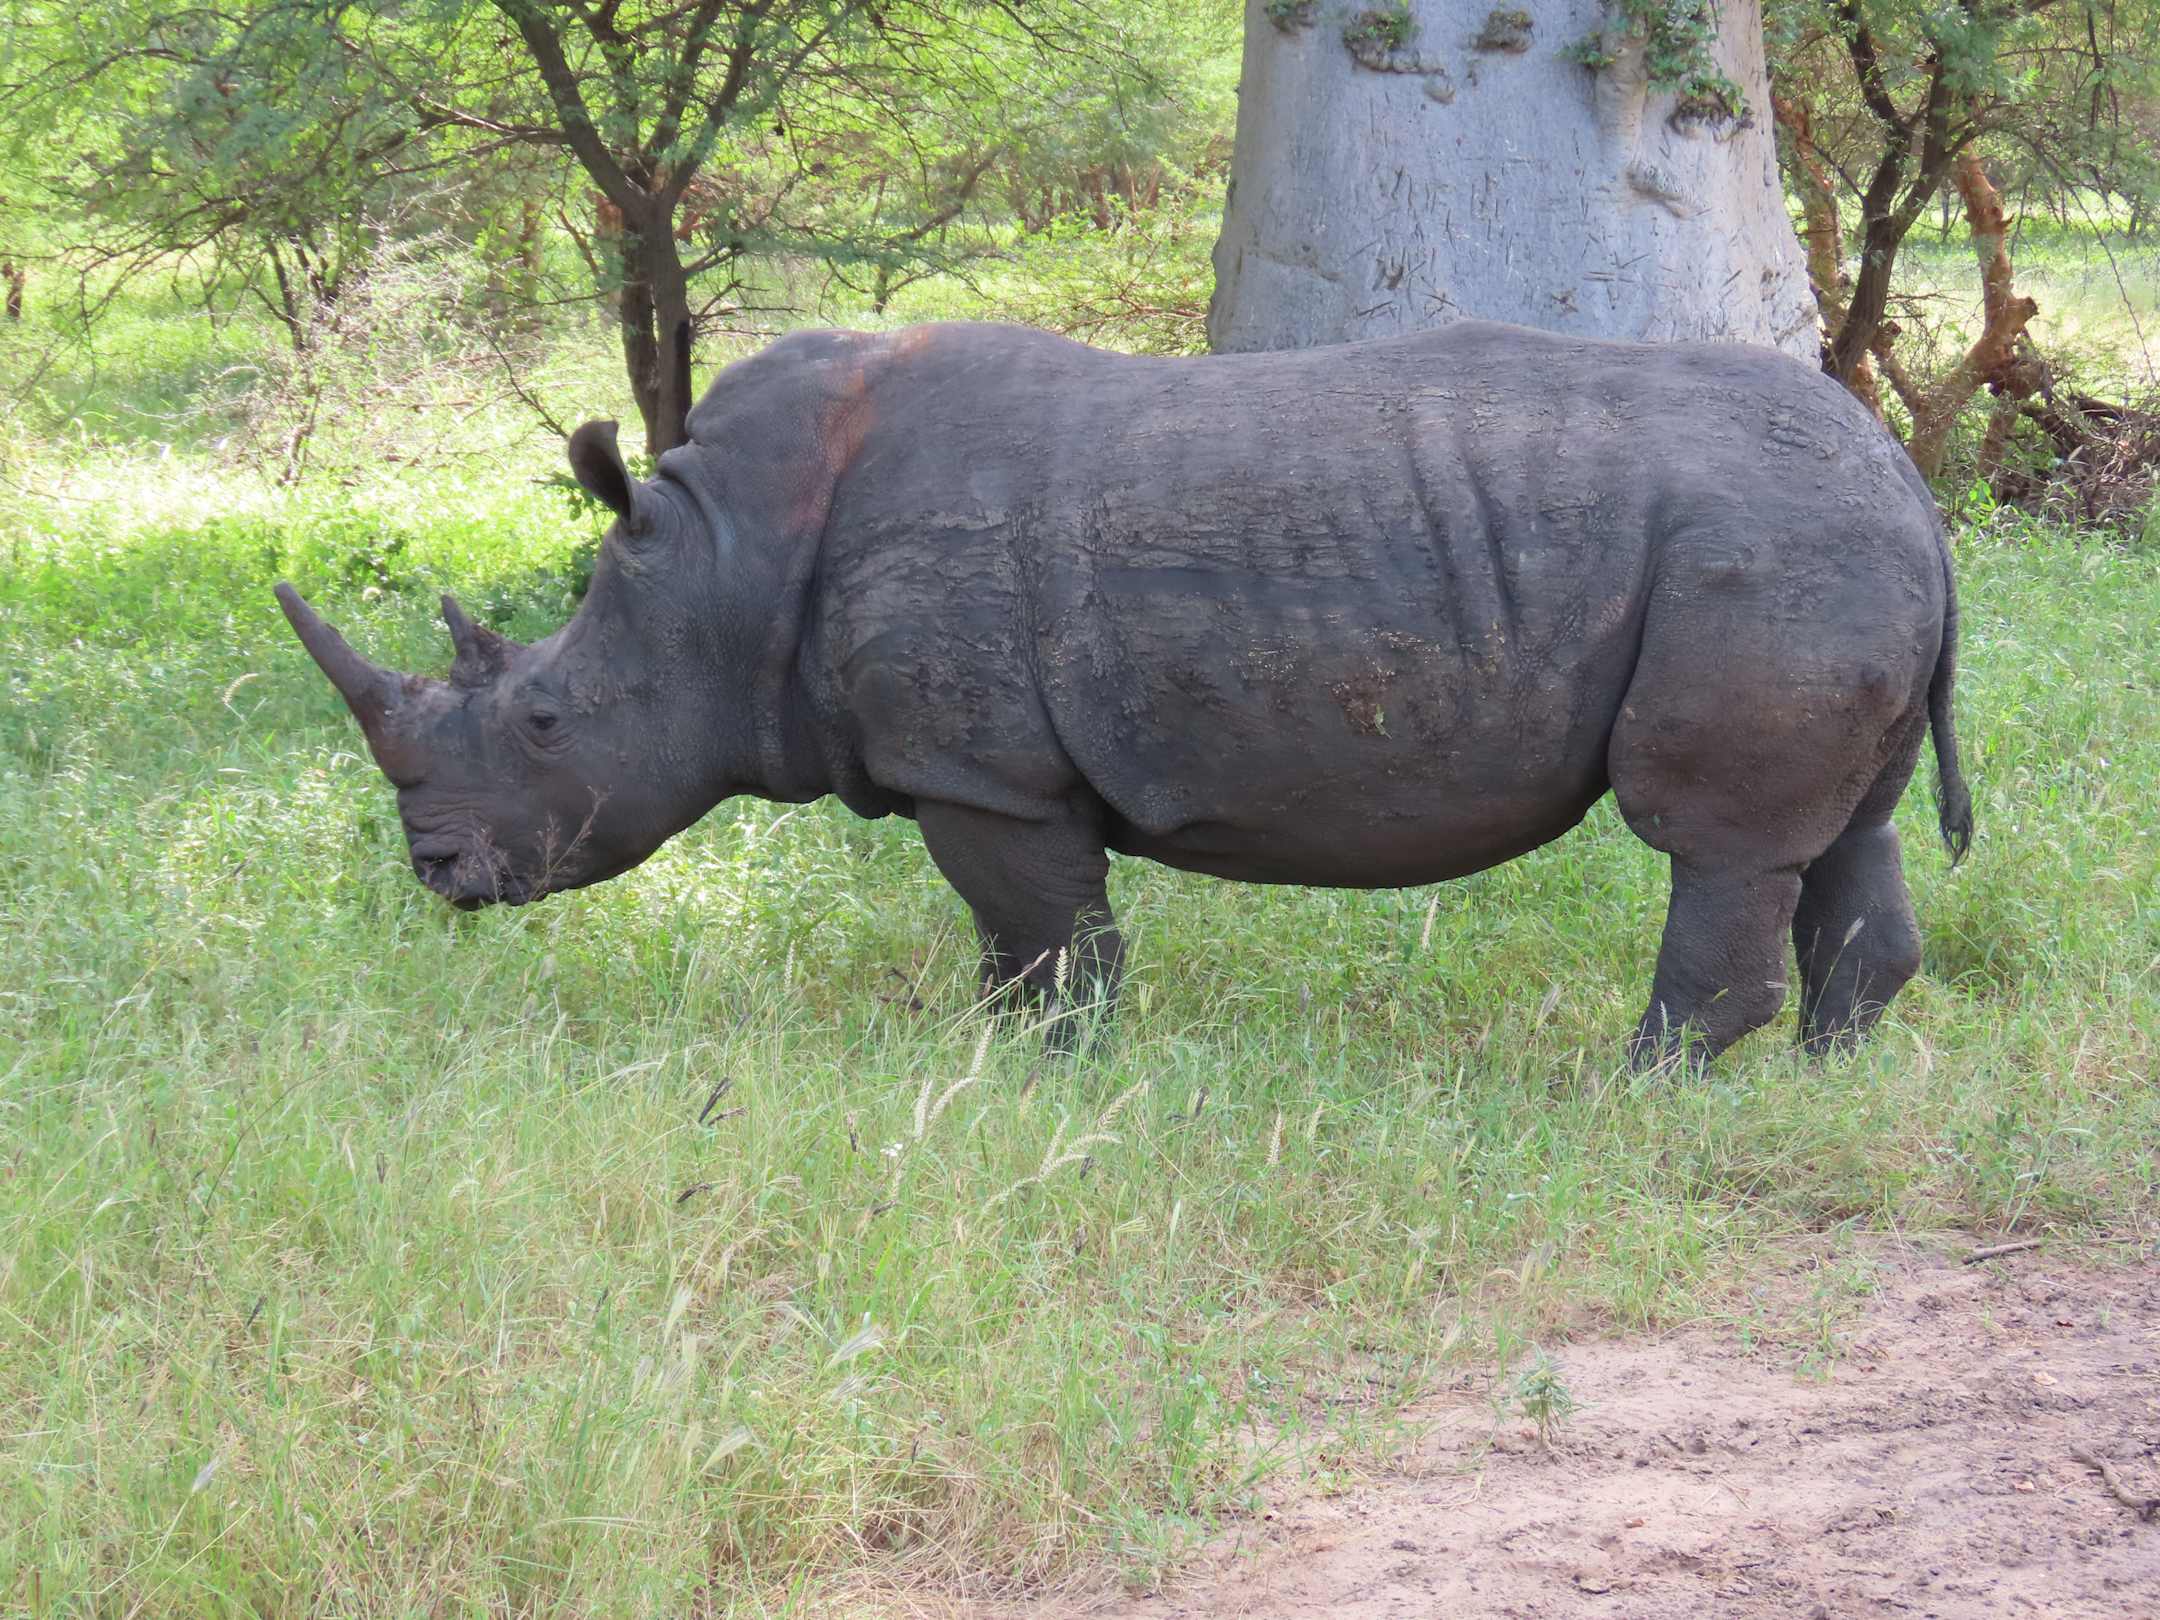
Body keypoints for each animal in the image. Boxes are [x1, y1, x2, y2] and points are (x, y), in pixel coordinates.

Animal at [278, 320, 1971, 1066]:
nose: (439, 872)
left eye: (546, 722)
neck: (716, 561)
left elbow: (1048, 936)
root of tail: (1914, 490)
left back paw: (1636, 1086)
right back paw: (1829, 1070)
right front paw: (989, 1058)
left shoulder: (984, 773)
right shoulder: (983, 769)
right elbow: (1023, 940)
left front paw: (1052, 1071)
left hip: (1766, 550)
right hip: (1823, 552)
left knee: (1715, 841)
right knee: (1844, 826)